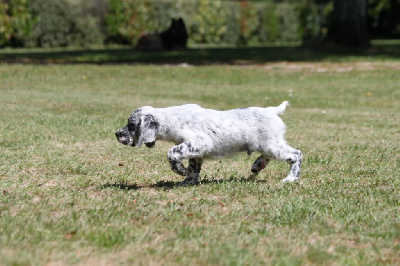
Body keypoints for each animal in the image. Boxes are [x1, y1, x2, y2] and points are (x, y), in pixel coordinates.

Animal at [114, 101, 302, 186]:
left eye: (131, 124)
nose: (116, 134)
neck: (173, 119)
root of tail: (273, 111)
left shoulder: (199, 143)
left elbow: (171, 153)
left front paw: (179, 170)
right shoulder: (196, 153)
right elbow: (193, 169)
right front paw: (187, 182)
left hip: (272, 144)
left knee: (296, 155)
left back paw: (291, 178)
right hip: (268, 145)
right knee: (269, 156)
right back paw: (257, 164)